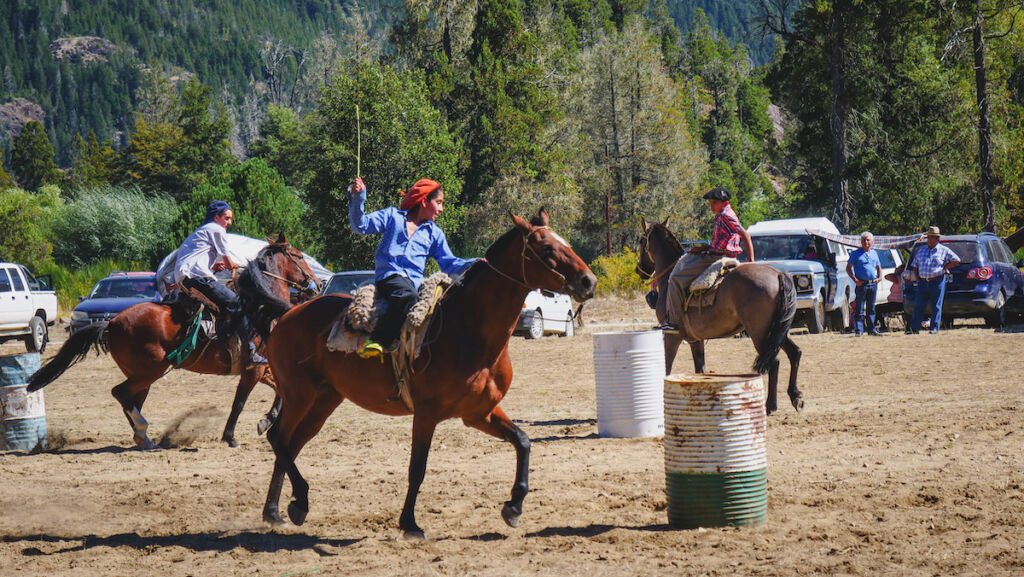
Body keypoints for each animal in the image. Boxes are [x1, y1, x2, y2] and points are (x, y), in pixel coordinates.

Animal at [29, 232, 315, 448]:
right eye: (299, 256)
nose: (314, 283)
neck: (259, 308)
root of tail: (112, 323)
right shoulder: (252, 368)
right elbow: (239, 403)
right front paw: (231, 437)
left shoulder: (262, 368)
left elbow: (279, 392)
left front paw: (265, 421)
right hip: (152, 369)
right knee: (120, 393)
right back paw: (144, 432)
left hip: (142, 374)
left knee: (130, 399)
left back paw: (144, 438)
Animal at [260, 210, 598, 541]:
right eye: (547, 248)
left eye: (565, 243)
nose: (588, 281)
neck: (467, 329)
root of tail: (288, 314)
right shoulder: (426, 414)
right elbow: (417, 467)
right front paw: (410, 524)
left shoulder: (480, 413)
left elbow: (523, 441)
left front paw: (514, 507)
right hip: (298, 395)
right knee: (279, 437)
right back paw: (297, 501)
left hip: (324, 400)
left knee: (291, 443)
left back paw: (278, 511)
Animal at [634, 220, 802, 416]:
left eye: (641, 241)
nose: (639, 270)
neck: (669, 280)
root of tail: (777, 274)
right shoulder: (695, 340)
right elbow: (700, 369)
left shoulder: (671, 336)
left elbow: (667, 366)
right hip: (777, 330)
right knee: (795, 352)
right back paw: (796, 396)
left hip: (759, 332)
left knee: (774, 362)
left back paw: (770, 406)